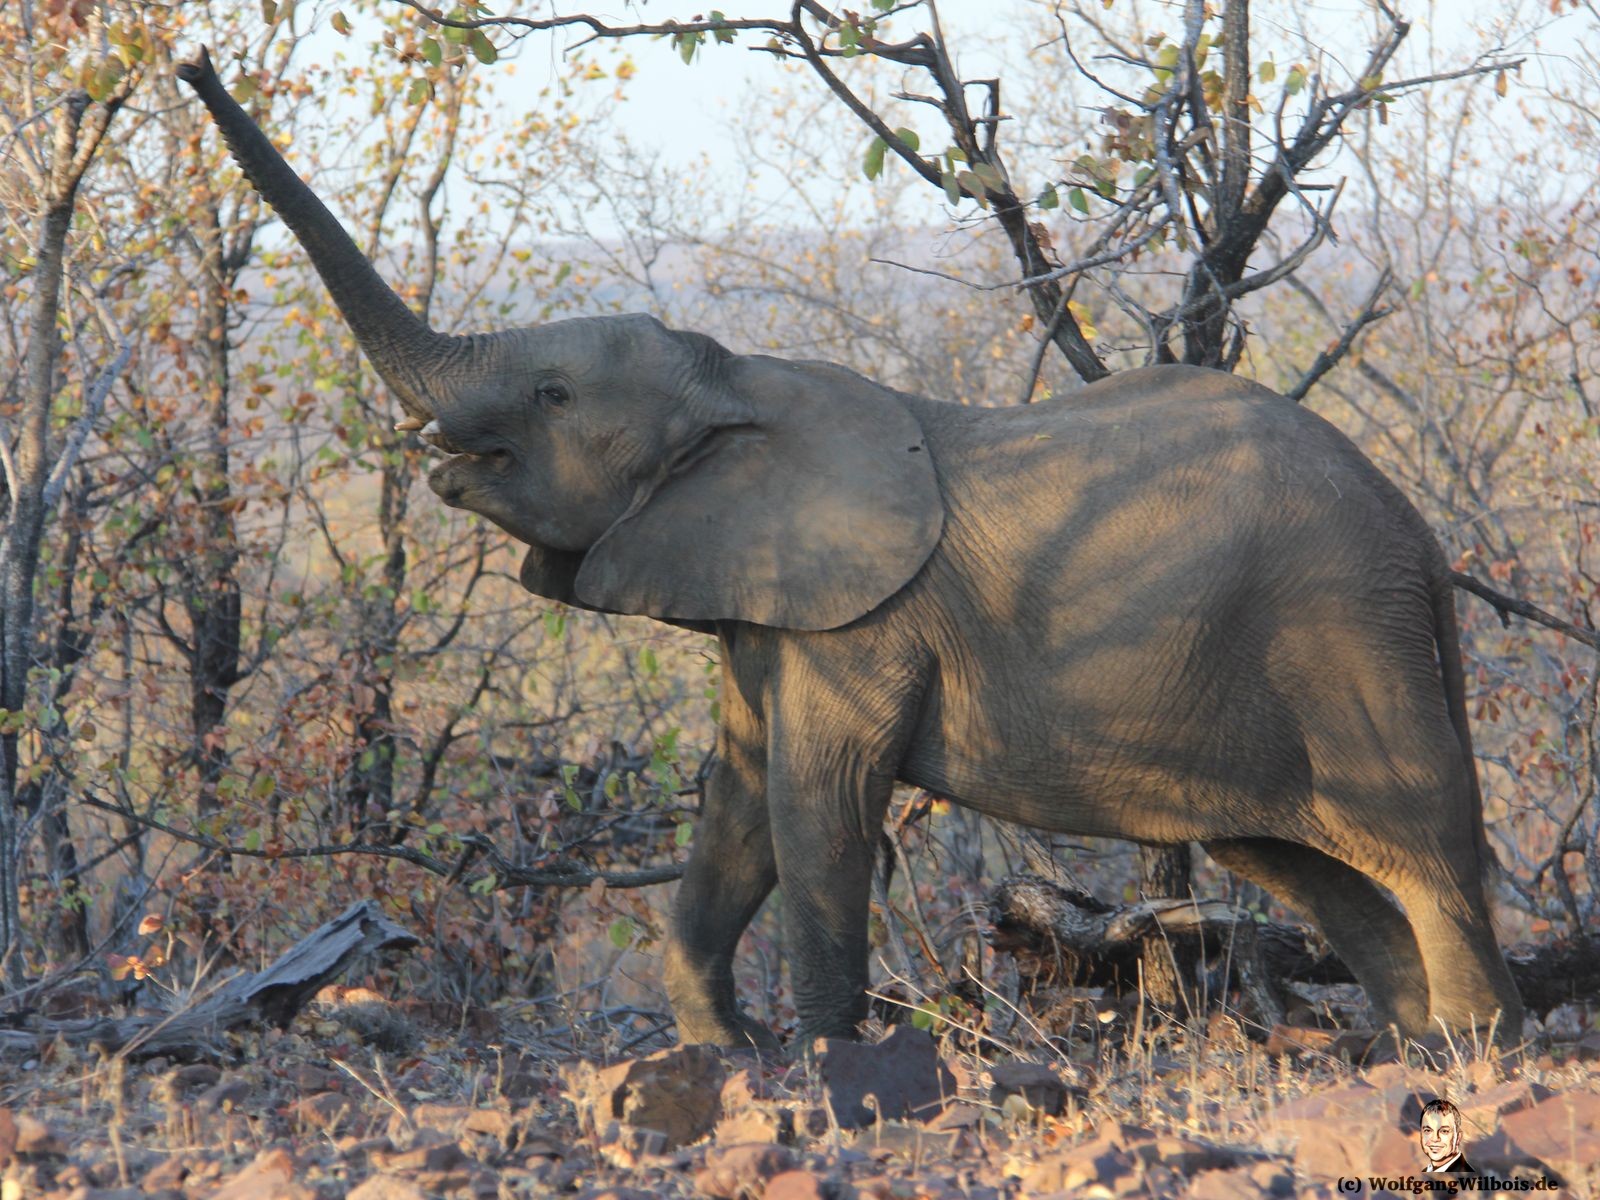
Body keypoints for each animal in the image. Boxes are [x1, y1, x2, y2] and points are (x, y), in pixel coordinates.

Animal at [181, 51, 1516, 1049]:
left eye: (554, 398)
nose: (192, 58)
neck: (733, 382)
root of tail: (1419, 539)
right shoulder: (761, 606)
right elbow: (734, 801)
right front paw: (722, 1049)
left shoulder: (860, 626)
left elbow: (812, 804)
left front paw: (826, 1063)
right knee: (1305, 862)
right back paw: (1407, 1048)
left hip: (1346, 633)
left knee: (1424, 850)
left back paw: (1471, 1056)